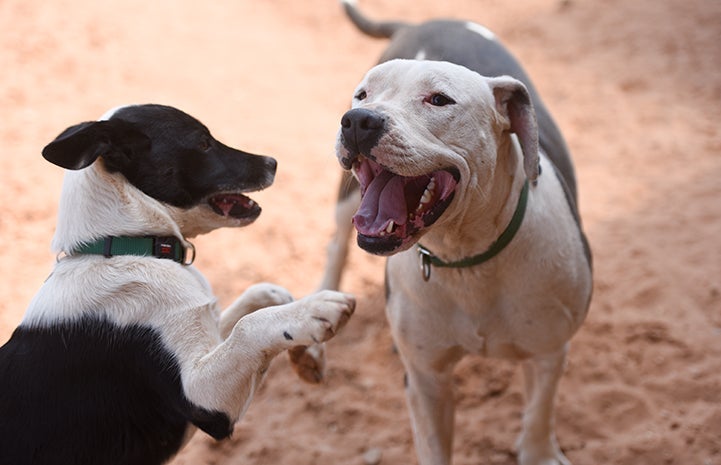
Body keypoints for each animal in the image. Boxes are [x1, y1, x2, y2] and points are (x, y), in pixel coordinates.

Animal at [0, 104, 354, 464]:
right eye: (203, 143)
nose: (272, 162)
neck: (131, 247)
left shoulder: (206, 335)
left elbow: (258, 298)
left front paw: (304, 346)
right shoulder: (205, 398)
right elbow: (248, 327)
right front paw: (314, 310)